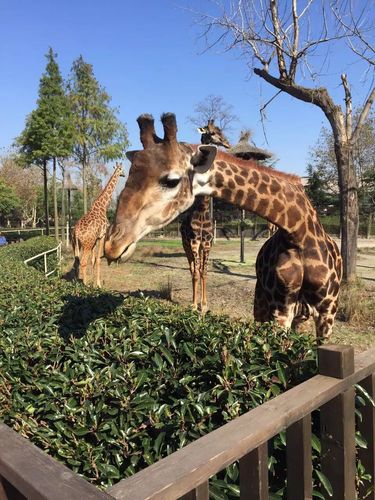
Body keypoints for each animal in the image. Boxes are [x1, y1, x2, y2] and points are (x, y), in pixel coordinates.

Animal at [180, 119, 232, 310]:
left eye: (220, 130)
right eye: (211, 132)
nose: (227, 143)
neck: (202, 210)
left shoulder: (207, 243)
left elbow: (205, 272)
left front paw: (205, 304)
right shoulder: (194, 242)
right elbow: (196, 272)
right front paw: (195, 305)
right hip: (186, 245)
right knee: (191, 269)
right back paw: (192, 301)